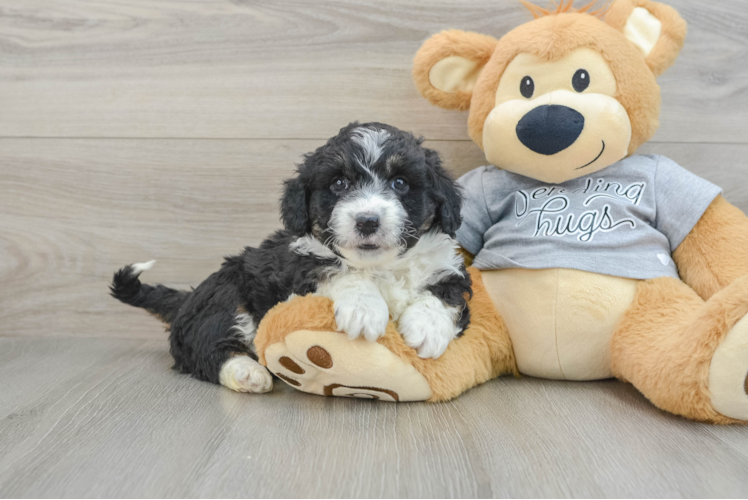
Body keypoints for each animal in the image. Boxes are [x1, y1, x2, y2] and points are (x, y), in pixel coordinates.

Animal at [112, 122, 470, 394]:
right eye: (338, 183)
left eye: (400, 183)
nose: (367, 221)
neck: (379, 267)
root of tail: (187, 300)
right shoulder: (301, 268)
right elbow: (337, 271)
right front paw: (364, 309)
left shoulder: (449, 268)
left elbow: (446, 293)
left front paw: (427, 328)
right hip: (225, 295)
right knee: (206, 350)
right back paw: (247, 372)